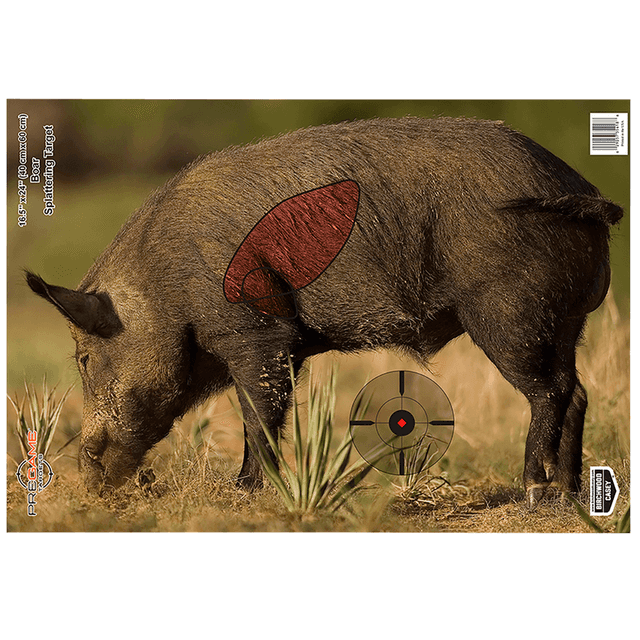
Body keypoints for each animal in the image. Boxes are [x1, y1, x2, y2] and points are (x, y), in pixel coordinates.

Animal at [26, 116, 622, 509]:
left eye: (84, 358)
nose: (86, 478)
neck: (163, 289)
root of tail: (582, 189)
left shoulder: (257, 332)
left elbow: (258, 415)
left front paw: (243, 493)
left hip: (510, 313)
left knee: (551, 391)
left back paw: (535, 489)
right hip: (566, 322)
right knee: (577, 390)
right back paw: (569, 495)